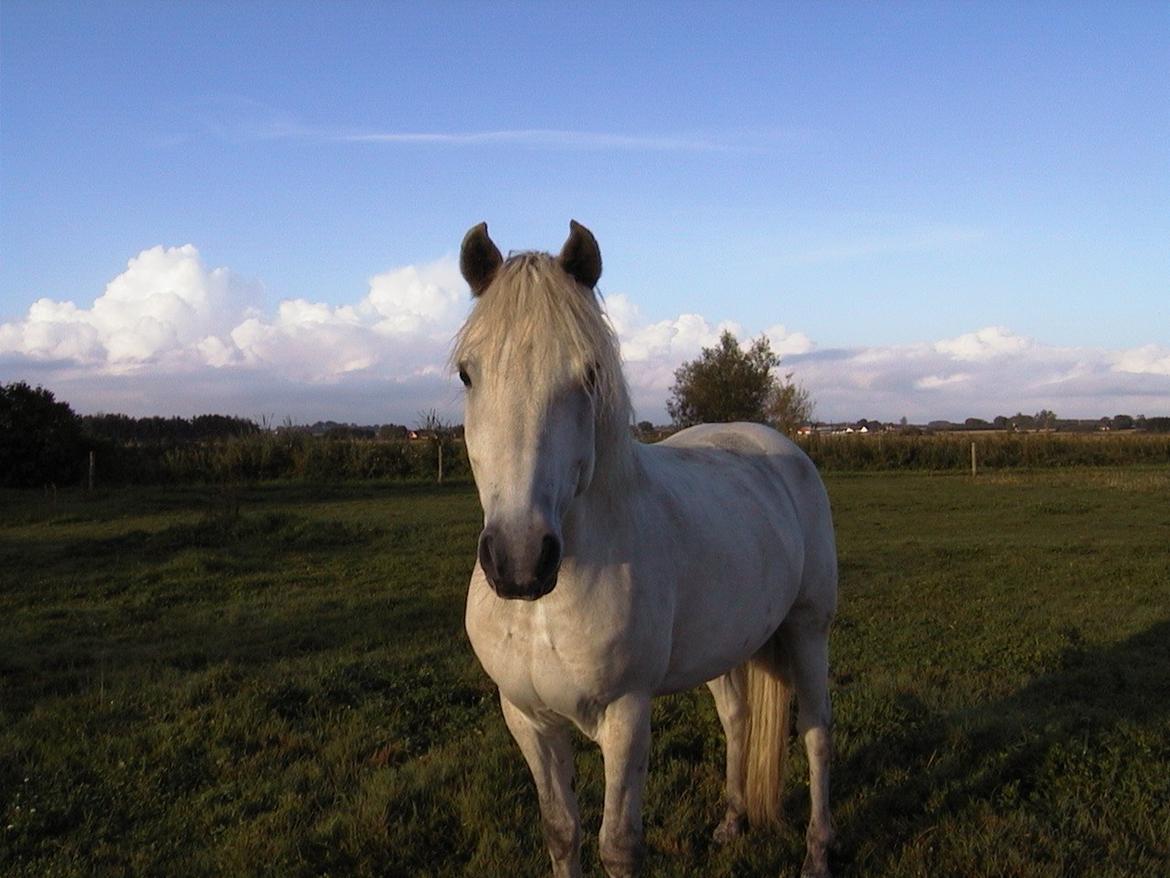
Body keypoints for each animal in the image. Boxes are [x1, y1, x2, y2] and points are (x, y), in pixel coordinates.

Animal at [451, 221, 837, 878]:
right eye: (466, 374)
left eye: (588, 374)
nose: (520, 561)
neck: (543, 609)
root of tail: (778, 446)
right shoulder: (527, 719)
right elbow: (562, 832)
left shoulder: (627, 716)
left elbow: (619, 844)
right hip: (730, 643)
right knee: (738, 719)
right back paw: (732, 822)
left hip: (808, 631)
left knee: (815, 732)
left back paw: (816, 853)